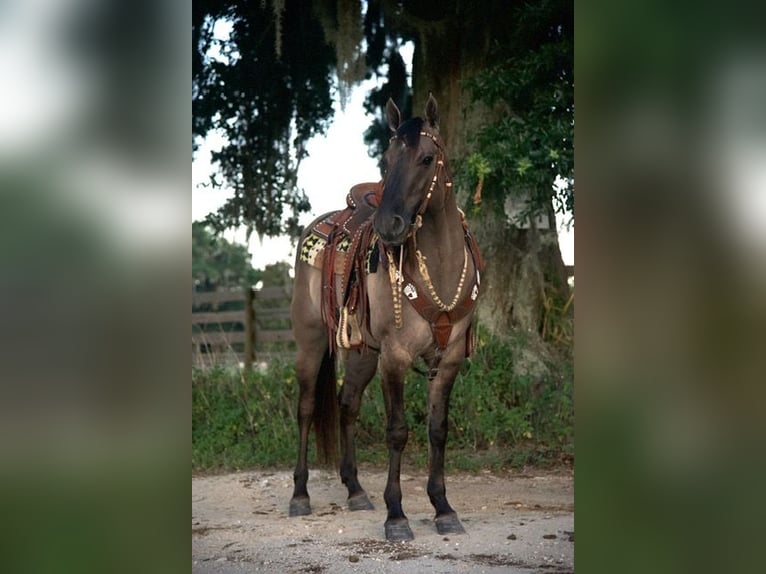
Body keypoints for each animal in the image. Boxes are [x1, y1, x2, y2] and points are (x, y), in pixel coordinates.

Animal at [292, 95, 484, 544]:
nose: (388, 225)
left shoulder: (447, 360)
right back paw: (300, 494)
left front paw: (443, 508)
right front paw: (396, 515)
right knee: (306, 408)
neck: (439, 268)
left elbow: (438, 429)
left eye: (427, 158)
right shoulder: (395, 358)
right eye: (388, 158)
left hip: (363, 353)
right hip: (311, 341)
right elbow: (397, 431)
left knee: (347, 404)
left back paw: (355, 490)